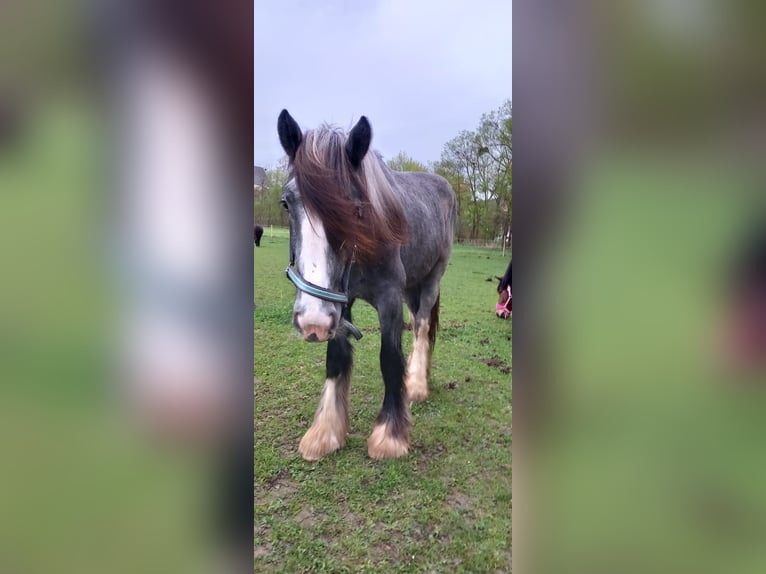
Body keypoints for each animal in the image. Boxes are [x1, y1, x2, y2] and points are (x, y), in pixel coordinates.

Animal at [276, 110, 456, 462]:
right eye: (286, 203)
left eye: (354, 207)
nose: (312, 322)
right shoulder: (339, 302)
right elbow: (336, 357)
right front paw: (326, 432)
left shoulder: (389, 299)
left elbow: (389, 358)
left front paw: (390, 435)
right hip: (411, 287)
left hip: (432, 279)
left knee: (422, 325)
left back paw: (416, 384)